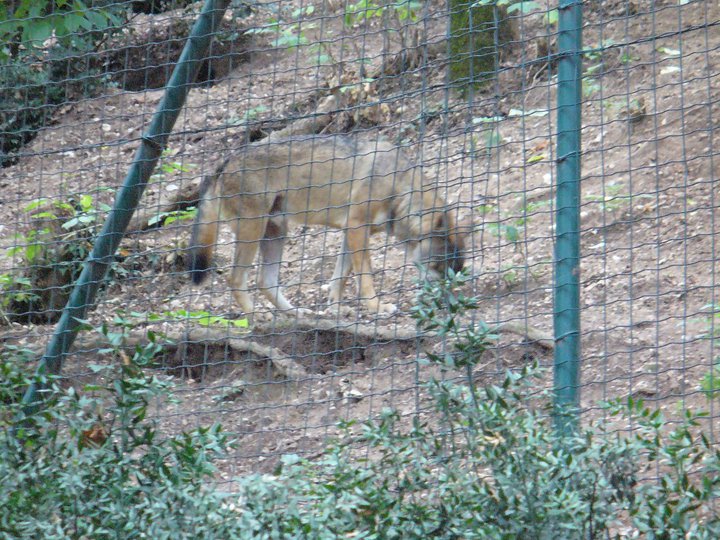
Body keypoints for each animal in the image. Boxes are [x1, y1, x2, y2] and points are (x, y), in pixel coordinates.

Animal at [187, 135, 466, 318]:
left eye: (455, 269)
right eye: (442, 267)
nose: (450, 302)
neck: (399, 188)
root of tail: (224, 162)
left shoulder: (350, 233)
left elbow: (339, 277)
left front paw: (335, 308)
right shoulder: (356, 228)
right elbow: (365, 277)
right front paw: (377, 308)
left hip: (276, 234)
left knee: (265, 281)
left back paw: (296, 313)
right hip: (253, 233)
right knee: (236, 278)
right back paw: (257, 315)